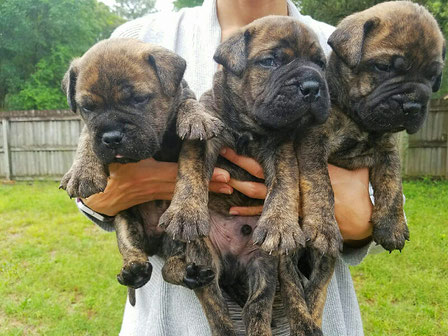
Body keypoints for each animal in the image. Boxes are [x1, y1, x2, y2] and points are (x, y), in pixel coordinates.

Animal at [159, 17, 330, 336]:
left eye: (320, 64)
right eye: (270, 61)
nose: (312, 86)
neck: (247, 126)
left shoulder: (281, 148)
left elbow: (285, 186)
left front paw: (280, 225)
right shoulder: (205, 134)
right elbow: (191, 172)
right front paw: (185, 213)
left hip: (264, 261)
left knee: (258, 305)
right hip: (204, 258)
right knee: (217, 308)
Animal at [296, 0, 446, 326]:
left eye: (432, 77)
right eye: (384, 67)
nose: (413, 105)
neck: (357, 118)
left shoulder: (388, 148)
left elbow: (392, 185)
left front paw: (392, 225)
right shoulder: (311, 143)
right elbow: (319, 185)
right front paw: (323, 225)